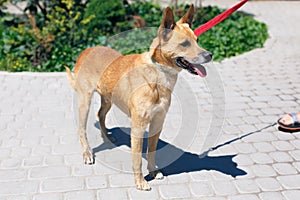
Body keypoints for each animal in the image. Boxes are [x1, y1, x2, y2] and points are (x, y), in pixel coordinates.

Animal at [64, 3, 212, 190]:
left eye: (197, 41)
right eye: (184, 44)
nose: (210, 55)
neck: (158, 76)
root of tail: (87, 50)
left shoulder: (157, 123)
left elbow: (151, 152)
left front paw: (153, 171)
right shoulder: (138, 126)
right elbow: (137, 159)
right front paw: (140, 182)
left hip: (108, 99)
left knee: (100, 115)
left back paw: (107, 136)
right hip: (85, 101)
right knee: (82, 129)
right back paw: (87, 153)